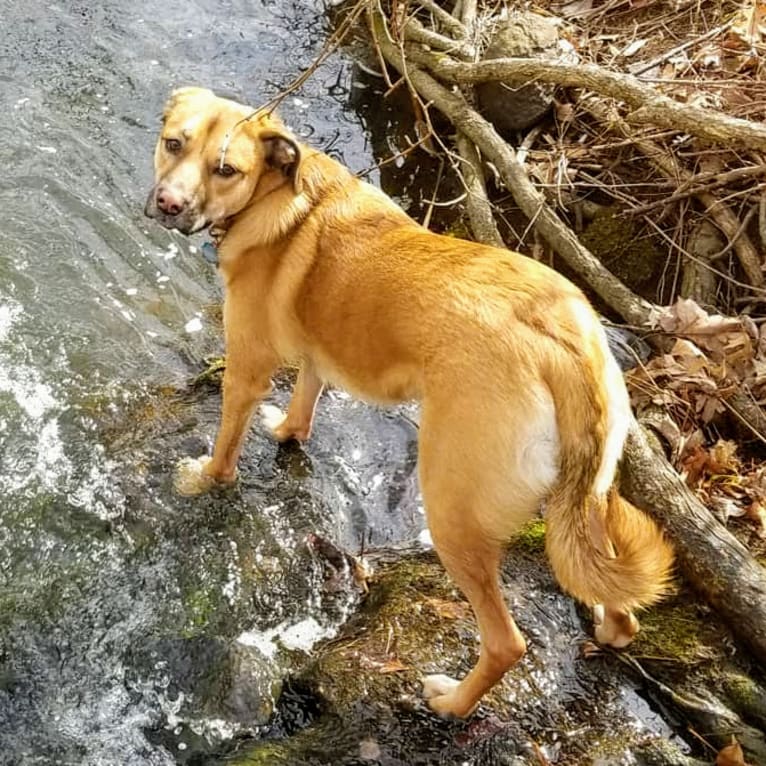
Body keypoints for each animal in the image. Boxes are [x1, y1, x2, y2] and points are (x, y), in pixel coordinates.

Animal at [147, 88, 676, 720]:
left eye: (226, 169)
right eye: (174, 143)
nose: (168, 204)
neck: (277, 197)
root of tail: (563, 342)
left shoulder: (246, 370)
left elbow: (226, 449)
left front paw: (201, 480)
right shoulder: (318, 355)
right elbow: (304, 403)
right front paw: (287, 431)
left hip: (452, 509)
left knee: (507, 642)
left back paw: (451, 703)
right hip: (588, 497)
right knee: (615, 600)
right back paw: (608, 629)